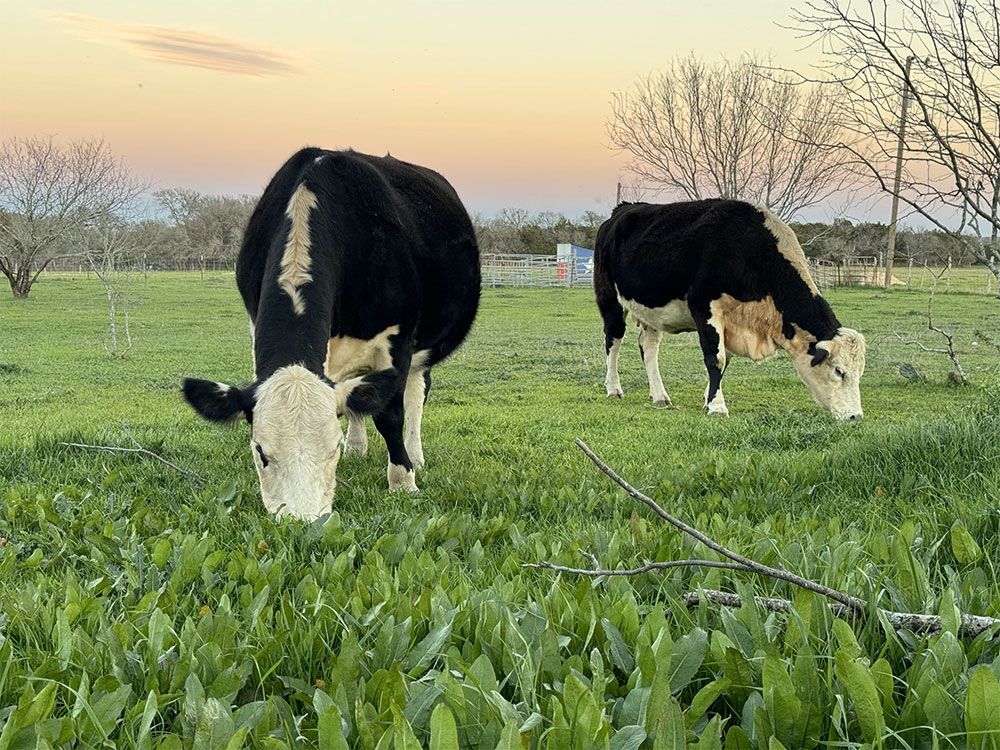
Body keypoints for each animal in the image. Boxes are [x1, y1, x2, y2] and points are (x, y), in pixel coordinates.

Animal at [181, 148, 480, 519]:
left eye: (331, 449)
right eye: (260, 451)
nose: (302, 520)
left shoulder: (397, 339)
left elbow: (390, 414)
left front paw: (403, 480)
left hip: (421, 350)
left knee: (415, 394)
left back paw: (415, 454)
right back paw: (359, 446)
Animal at [594, 199, 866, 420]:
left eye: (859, 373)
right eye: (839, 371)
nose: (855, 416)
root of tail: (622, 209)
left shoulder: (732, 321)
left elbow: (725, 361)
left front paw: (708, 400)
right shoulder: (705, 307)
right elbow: (716, 358)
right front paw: (717, 407)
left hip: (651, 310)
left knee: (648, 347)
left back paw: (660, 395)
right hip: (610, 301)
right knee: (613, 342)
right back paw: (614, 388)